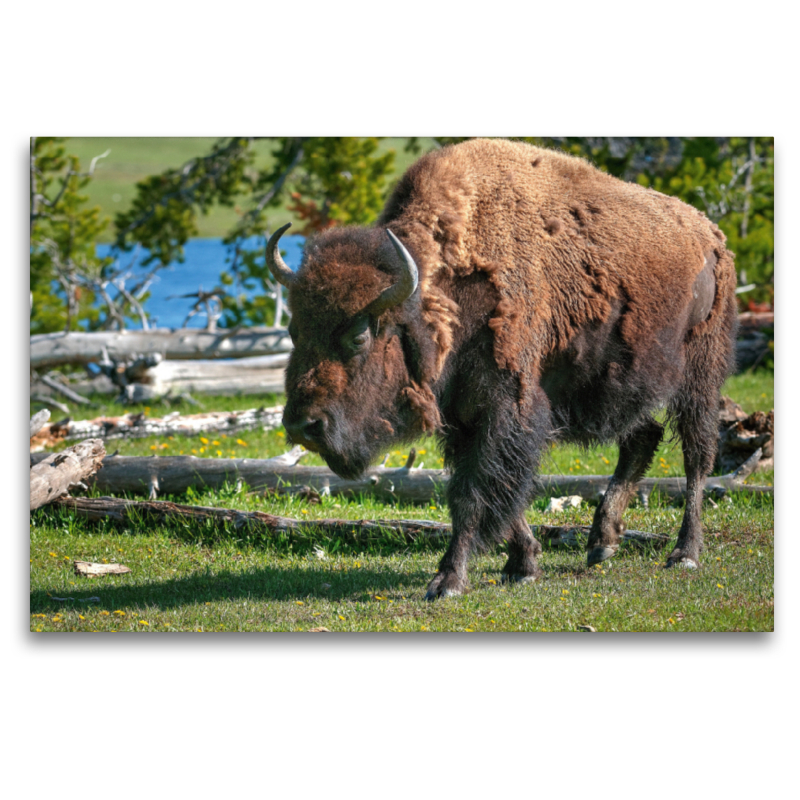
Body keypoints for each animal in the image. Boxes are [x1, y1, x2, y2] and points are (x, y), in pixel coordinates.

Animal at [264, 139, 736, 600]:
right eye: (293, 330)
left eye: (359, 336)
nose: (303, 426)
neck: (442, 296)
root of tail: (710, 235)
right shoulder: (463, 416)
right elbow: (495, 491)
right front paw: (521, 565)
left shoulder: (505, 406)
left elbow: (475, 493)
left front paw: (448, 581)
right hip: (620, 382)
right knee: (643, 436)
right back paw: (602, 542)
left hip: (700, 372)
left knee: (697, 455)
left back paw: (684, 553)